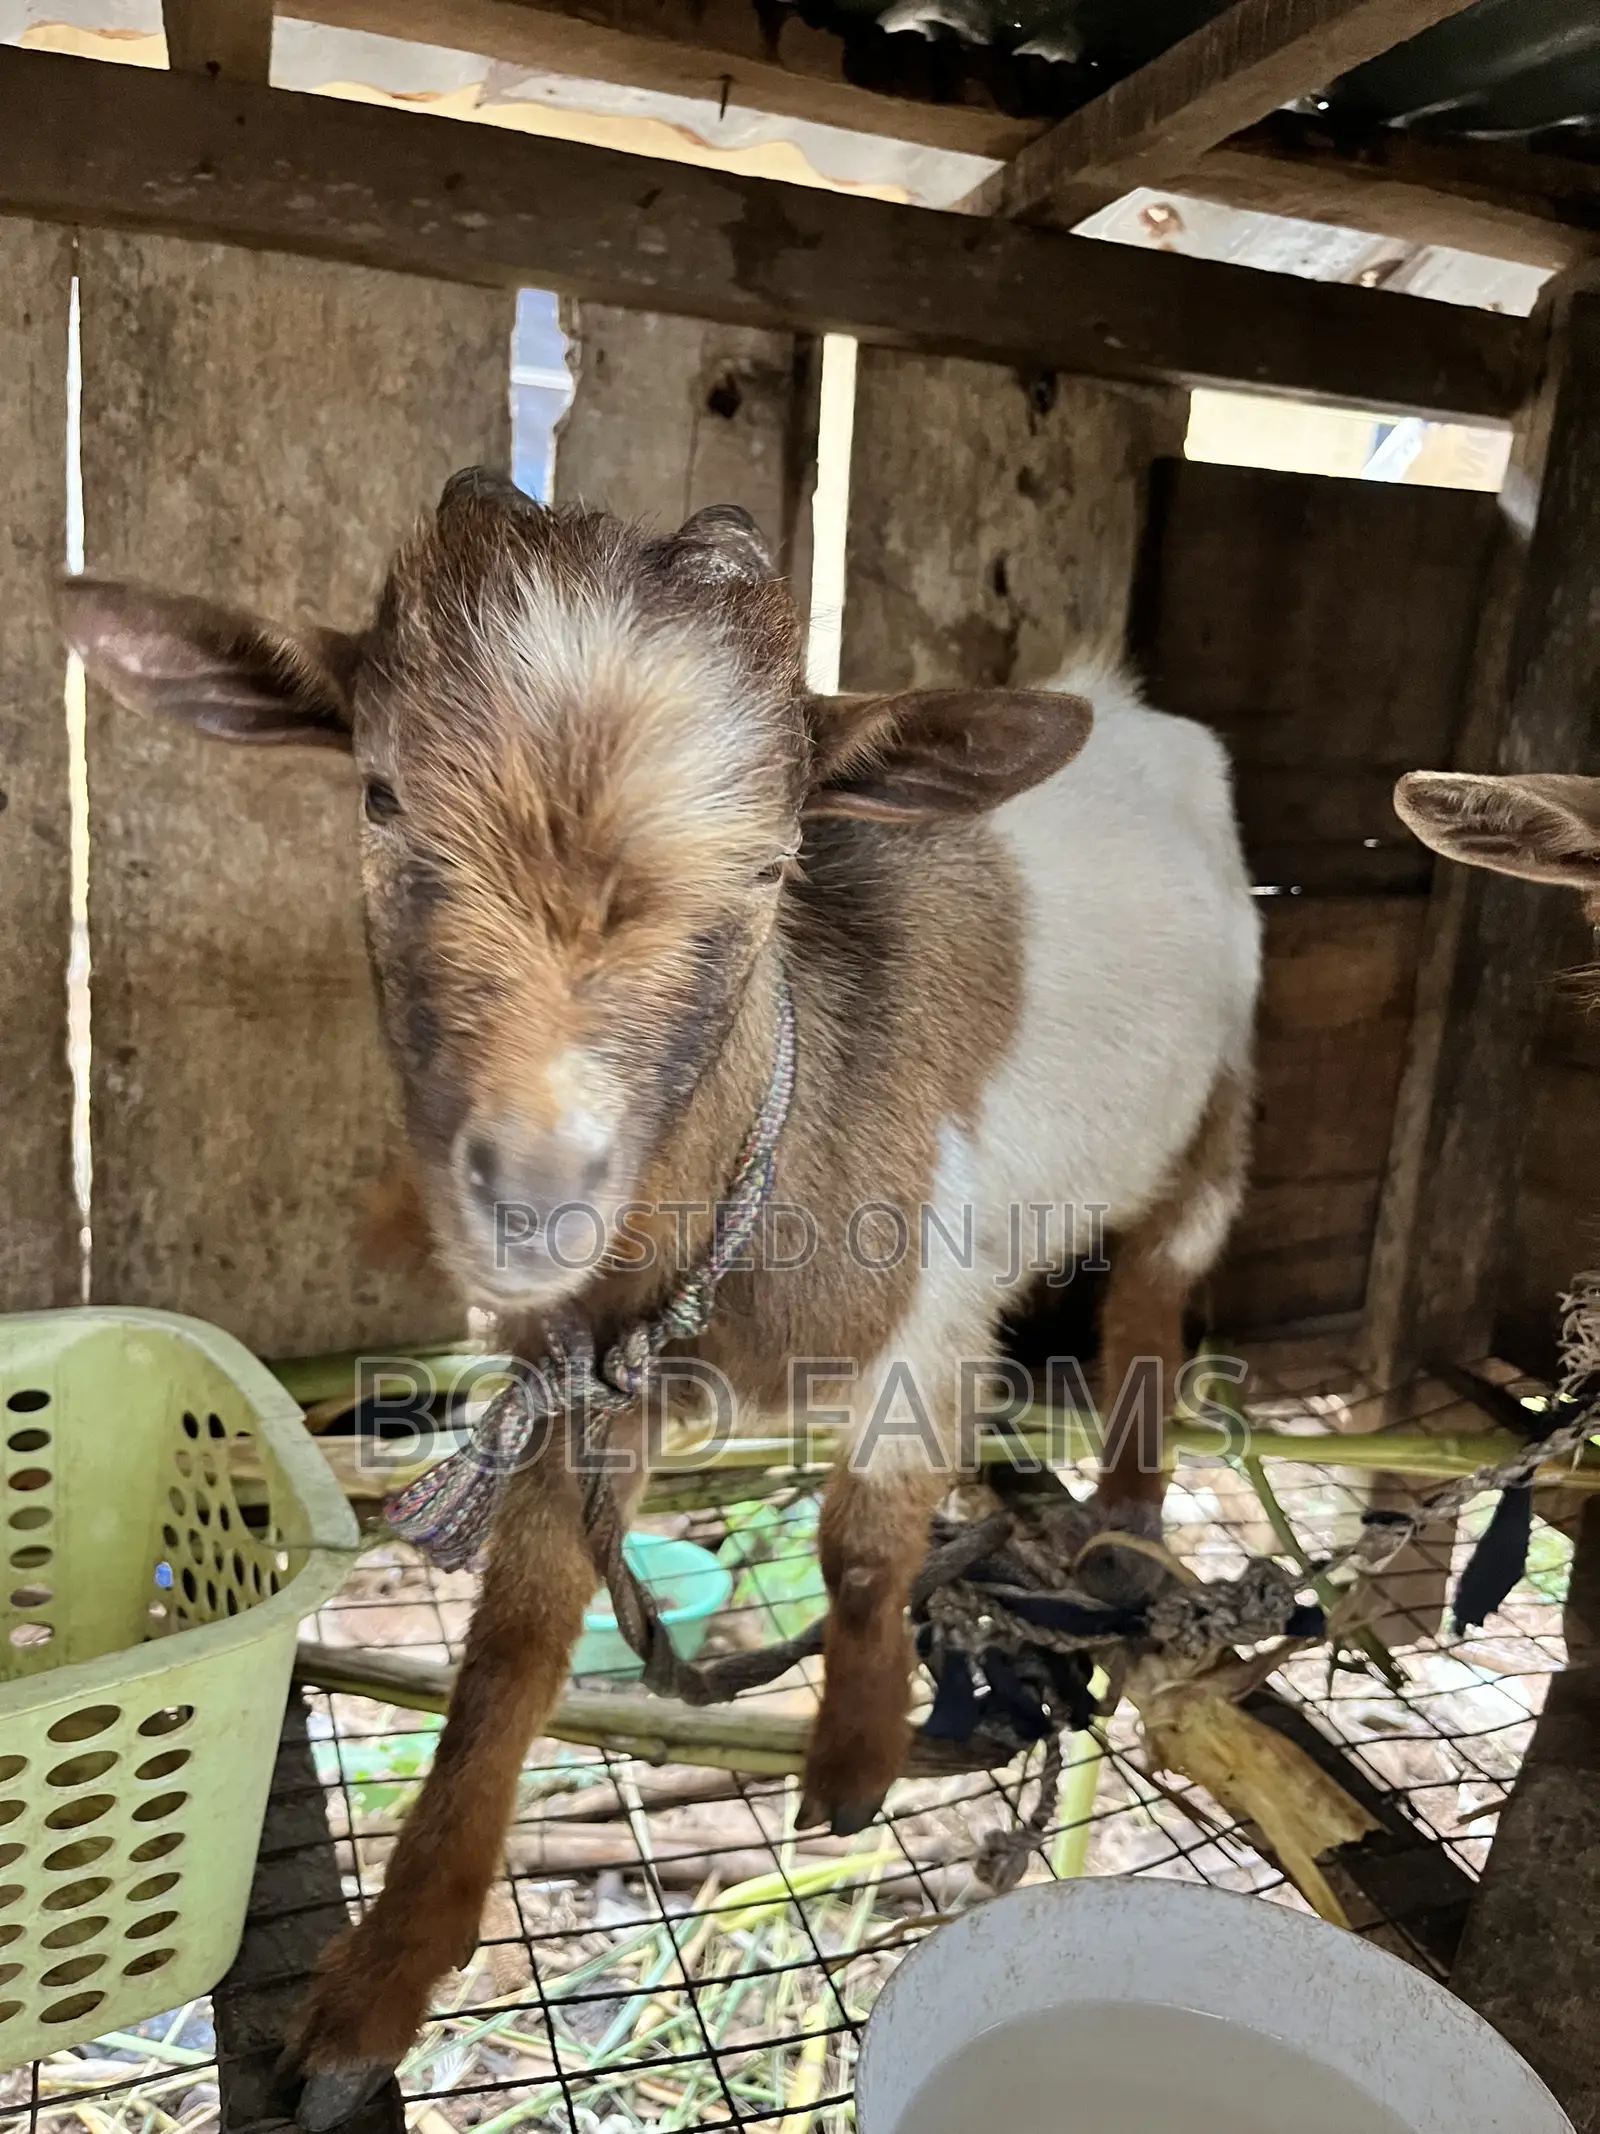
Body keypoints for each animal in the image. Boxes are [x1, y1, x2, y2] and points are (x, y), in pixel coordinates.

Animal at [62, 470, 1261, 2120]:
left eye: (772, 860)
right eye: (378, 794)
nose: (537, 1185)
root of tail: (1126, 708)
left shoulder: (919, 1326)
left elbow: (861, 1549)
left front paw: (855, 1761)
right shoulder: (585, 1372)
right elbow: (518, 1637)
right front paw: (377, 1987)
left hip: (1219, 1099)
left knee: (1154, 1300)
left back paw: (1131, 1512)